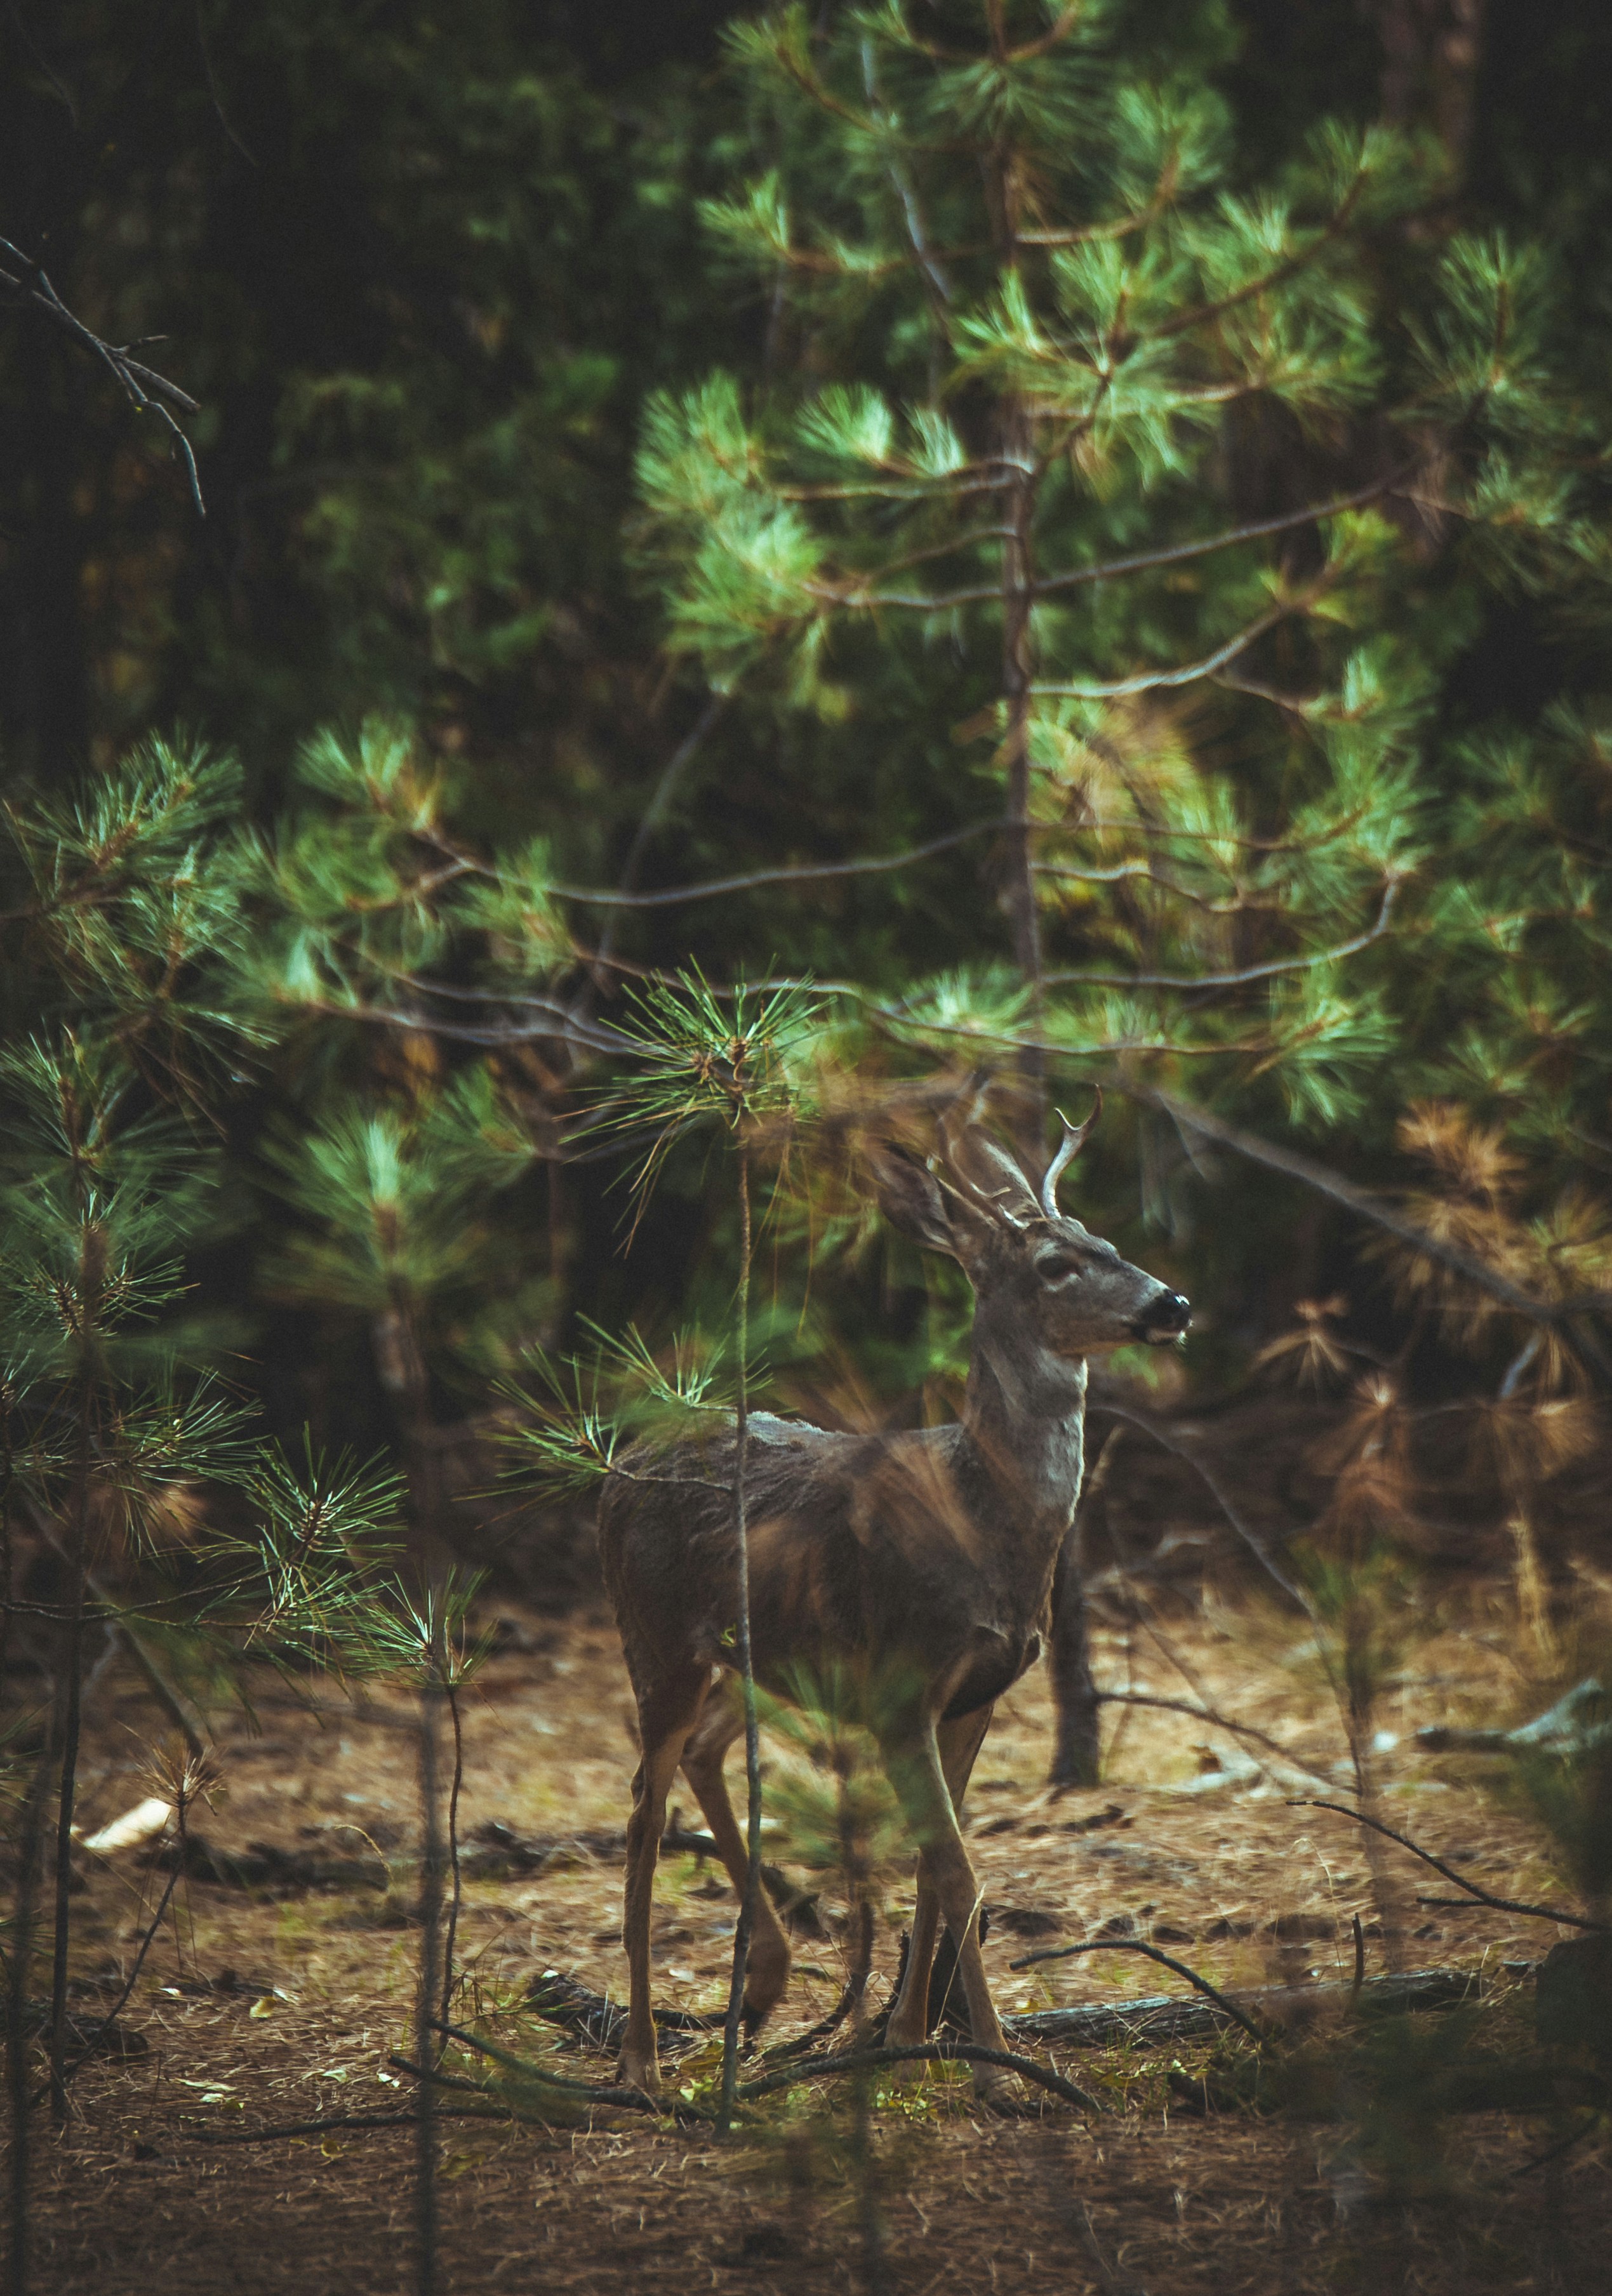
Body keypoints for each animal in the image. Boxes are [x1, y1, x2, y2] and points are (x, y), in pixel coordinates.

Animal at [595, 1095, 1190, 2102]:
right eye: (1055, 1265)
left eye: (1108, 1239)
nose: (1170, 1302)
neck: (984, 1519)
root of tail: (616, 1470)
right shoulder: (902, 1681)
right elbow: (959, 1873)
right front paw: (995, 2065)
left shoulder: (972, 1694)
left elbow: (931, 1867)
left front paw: (909, 2037)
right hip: (657, 1635)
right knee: (642, 1810)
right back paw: (640, 2055)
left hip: (750, 1661)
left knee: (704, 1756)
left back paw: (767, 1978)